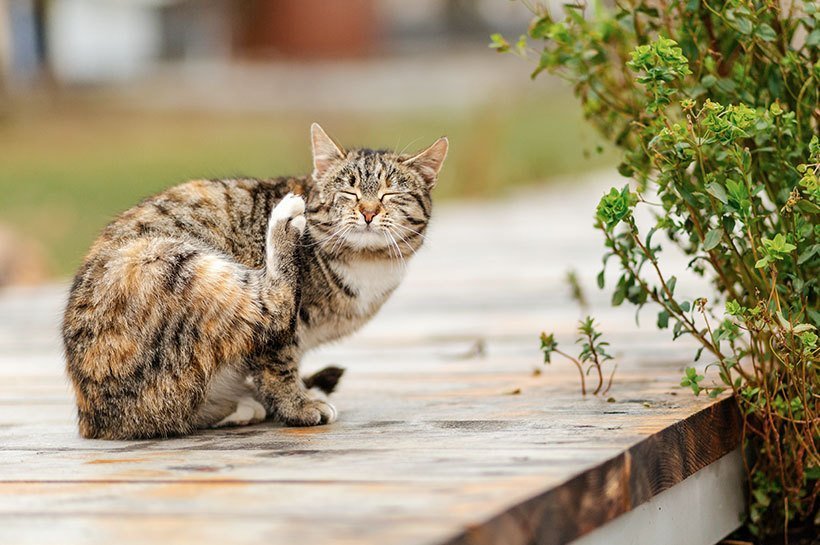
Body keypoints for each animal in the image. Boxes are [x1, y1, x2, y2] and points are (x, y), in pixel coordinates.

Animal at [62, 123, 448, 438]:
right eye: (349, 193)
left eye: (390, 194)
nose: (368, 212)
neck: (367, 263)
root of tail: (94, 420)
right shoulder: (281, 339)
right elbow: (278, 365)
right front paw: (298, 406)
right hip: (168, 261)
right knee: (272, 303)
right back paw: (282, 223)